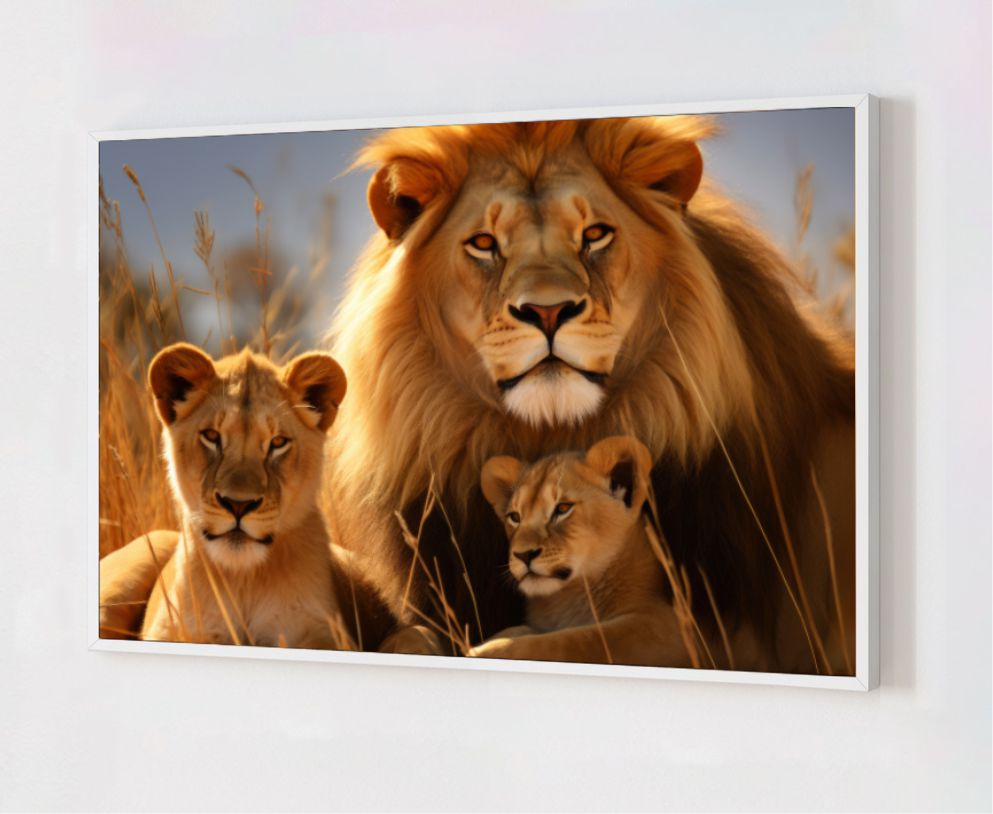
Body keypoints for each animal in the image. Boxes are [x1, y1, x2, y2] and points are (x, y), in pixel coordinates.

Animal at [469, 436, 694, 667]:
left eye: (562, 508)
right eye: (515, 517)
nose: (522, 555)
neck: (565, 598)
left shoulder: (666, 627)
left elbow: (577, 639)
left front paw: (486, 650)